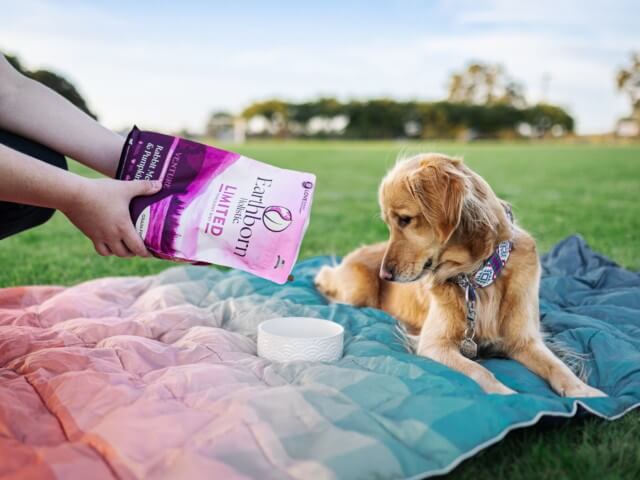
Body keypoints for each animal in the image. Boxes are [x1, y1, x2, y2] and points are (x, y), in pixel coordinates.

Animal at [318, 155, 608, 398]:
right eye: (389, 224)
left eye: (404, 219)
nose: (384, 274)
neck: (478, 277)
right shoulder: (434, 344)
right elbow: (478, 370)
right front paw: (505, 395)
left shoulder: (524, 341)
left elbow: (557, 366)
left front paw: (584, 392)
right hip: (358, 290)